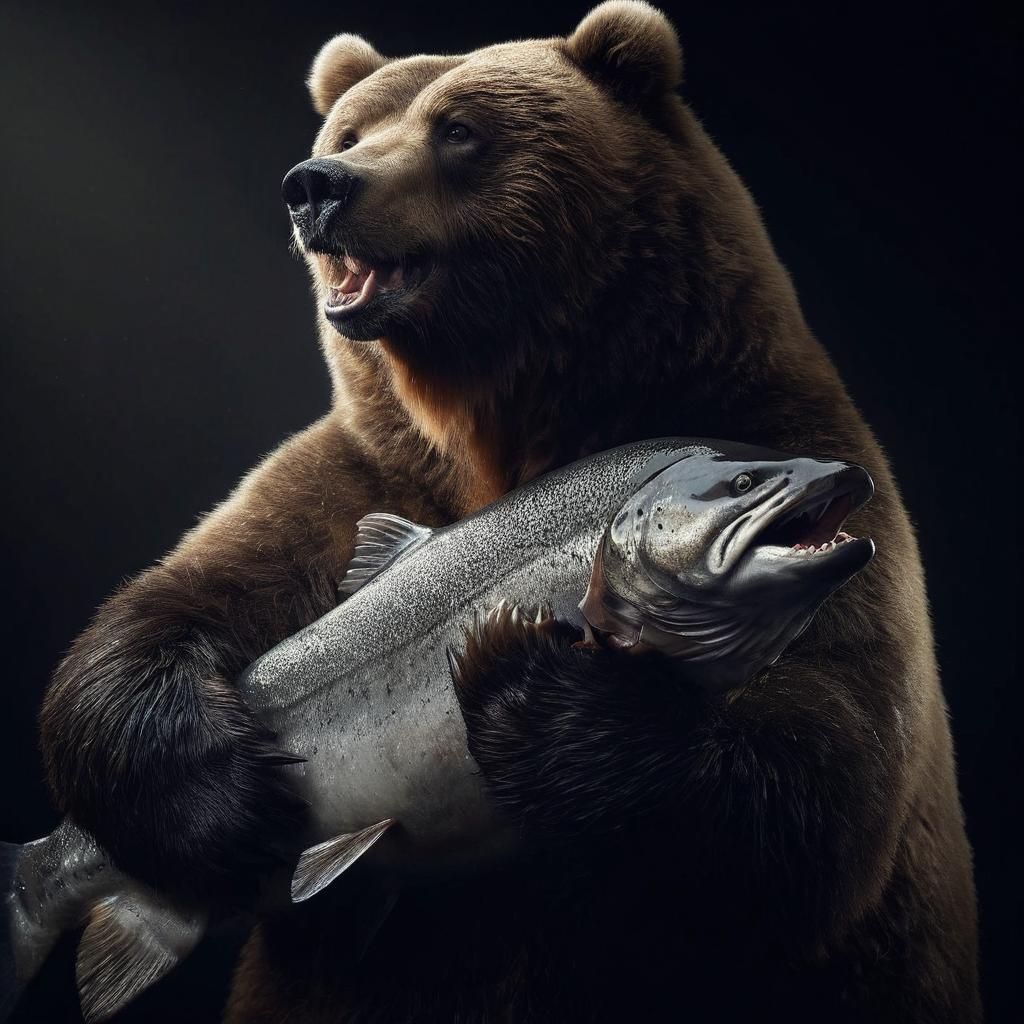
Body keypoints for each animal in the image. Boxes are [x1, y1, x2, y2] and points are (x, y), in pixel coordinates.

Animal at [39, 3, 980, 1021]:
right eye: (348, 133)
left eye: (459, 129)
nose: (315, 187)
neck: (498, 422)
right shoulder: (346, 473)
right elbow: (170, 610)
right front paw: (221, 786)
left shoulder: (803, 439)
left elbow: (824, 797)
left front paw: (535, 691)